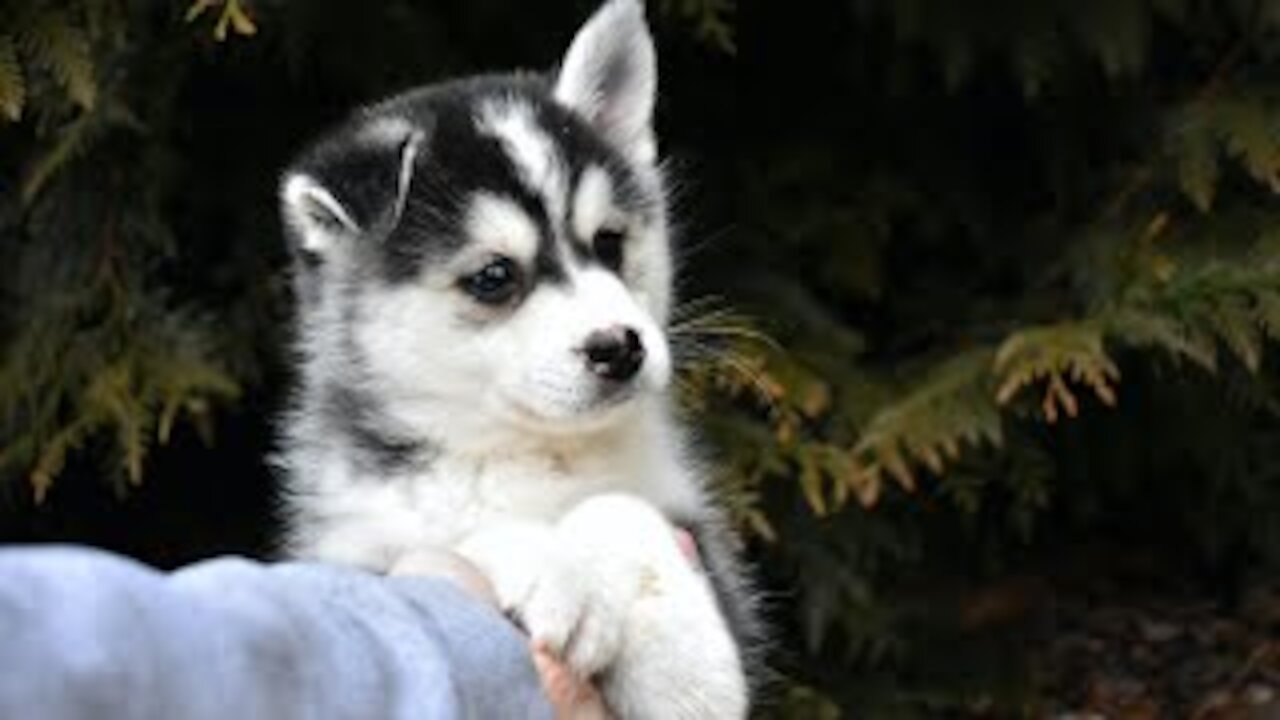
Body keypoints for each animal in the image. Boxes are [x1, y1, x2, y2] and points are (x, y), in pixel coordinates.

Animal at [275, 0, 752, 712]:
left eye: (609, 243)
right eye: (494, 277)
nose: (620, 349)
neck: (530, 455)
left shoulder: (695, 531)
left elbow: (621, 507)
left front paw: (684, 664)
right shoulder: (355, 550)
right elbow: (464, 537)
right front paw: (548, 563)